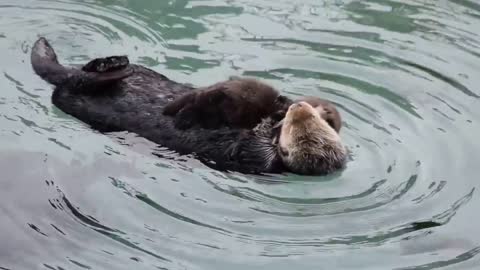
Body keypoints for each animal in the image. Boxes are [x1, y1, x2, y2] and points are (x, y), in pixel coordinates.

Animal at [30, 37, 344, 175]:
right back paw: (113, 63)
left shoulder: (253, 154)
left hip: (71, 95)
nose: (298, 105)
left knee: (75, 84)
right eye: (313, 120)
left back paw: (113, 71)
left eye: (295, 129)